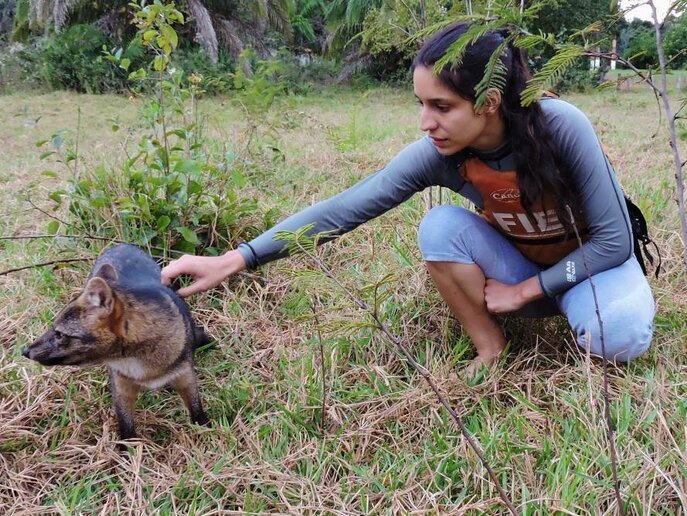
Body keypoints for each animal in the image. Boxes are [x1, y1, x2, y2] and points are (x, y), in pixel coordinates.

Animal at [22, 244, 211, 442]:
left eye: (59, 334)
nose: (25, 351)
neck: (142, 365)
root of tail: (121, 245)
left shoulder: (185, 376)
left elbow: (196, 408)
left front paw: (205, 427)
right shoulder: (122, 389)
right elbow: (125, 426)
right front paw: (126, 448)